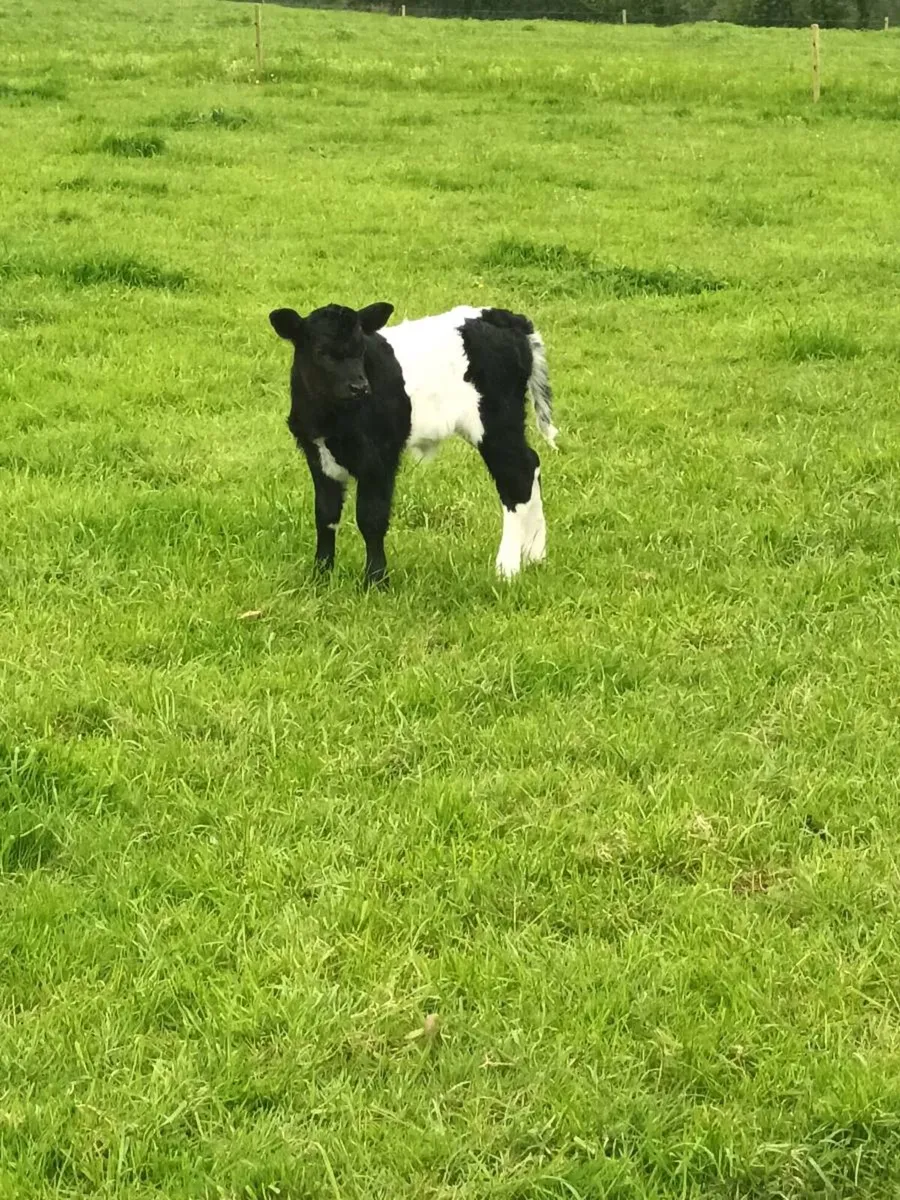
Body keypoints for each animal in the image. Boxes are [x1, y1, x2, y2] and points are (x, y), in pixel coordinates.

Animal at [268, 301, 558, 588]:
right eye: (321, 352)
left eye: (361, 349)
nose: (359, 387)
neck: (329, 420)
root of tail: (503, 316)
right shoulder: (318, 457)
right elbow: (326, 516)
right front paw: (320, 575)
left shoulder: (379, 457)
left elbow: (371, 518)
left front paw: (376, 581)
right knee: (531, 463)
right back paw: (535, 555)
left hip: (497, 421)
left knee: (517, 478)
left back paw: (507, 568)